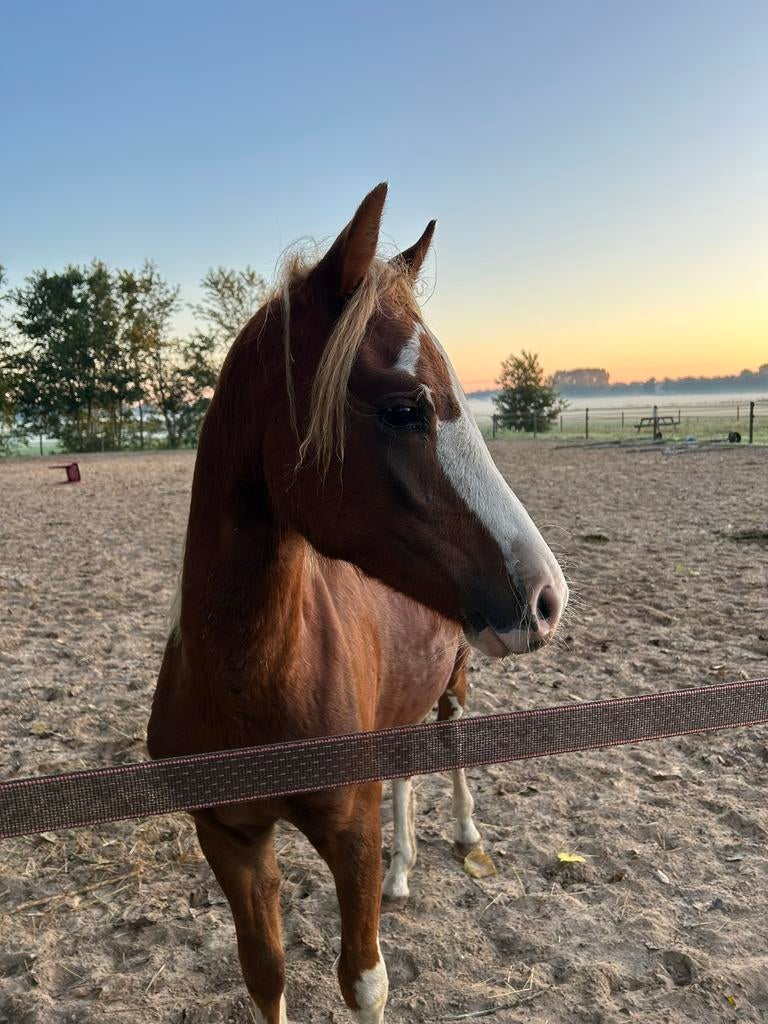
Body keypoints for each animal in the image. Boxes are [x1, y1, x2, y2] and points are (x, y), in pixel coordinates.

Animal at [148, 183, 568, 1023]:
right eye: (406, 408)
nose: (547, 597)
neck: (250, 681)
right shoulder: (229, 840)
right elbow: (265, 974)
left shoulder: (350, 829)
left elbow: (364, 980)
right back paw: (405, 870)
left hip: (454, 682)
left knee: (449, 747)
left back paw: (466, 838)